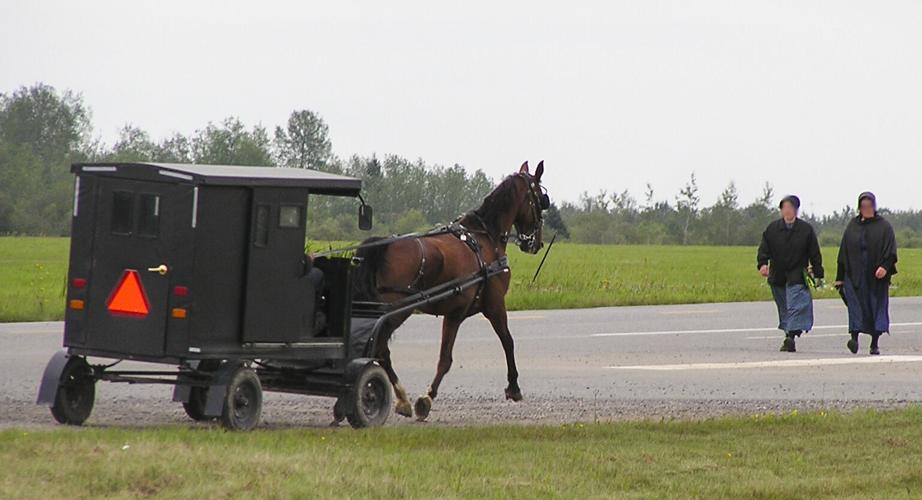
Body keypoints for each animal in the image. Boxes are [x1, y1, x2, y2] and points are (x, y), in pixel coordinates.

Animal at [352, 160, 549, 421]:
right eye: (541, 199)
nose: (536, 243)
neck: (486, 238)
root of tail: (381, 246)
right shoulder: (494, 305)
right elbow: (506, 341)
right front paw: (513, 387)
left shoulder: (454, 313)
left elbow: (444, 358)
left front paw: (427, 397)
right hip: (395, 312)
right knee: (381, 350)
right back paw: (399, 397)